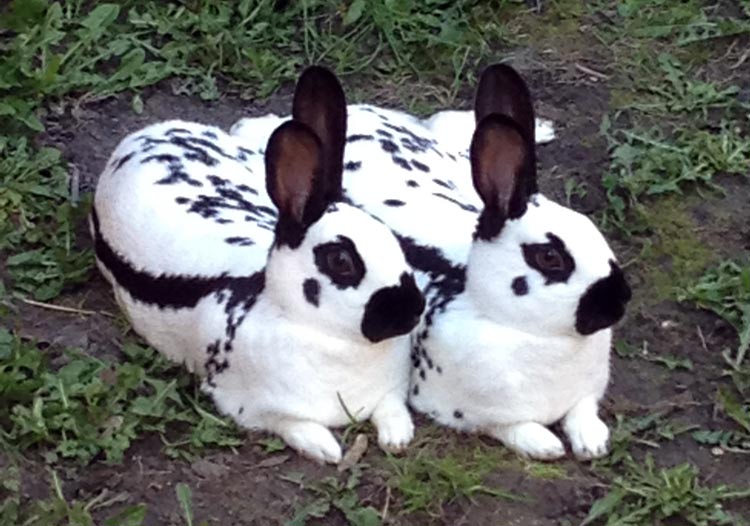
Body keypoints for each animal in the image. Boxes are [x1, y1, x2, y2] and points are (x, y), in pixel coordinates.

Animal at [89, 67, 424, 466]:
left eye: (391, 238)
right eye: (341, 261)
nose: (414, 309)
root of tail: (137, 138)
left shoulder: (390, 392)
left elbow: (392, 409)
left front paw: (397, 439)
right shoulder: (257, 408)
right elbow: (294, 425)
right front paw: (326, 449)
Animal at [232, 64, 632, 462]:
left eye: (593, 231)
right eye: (550, 257)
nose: (620, 299)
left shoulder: (585, 394)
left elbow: (583, 411)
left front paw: (592, 442)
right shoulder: (468, 412)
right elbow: (512, 427)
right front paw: (546, 445)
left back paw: (544, 127)